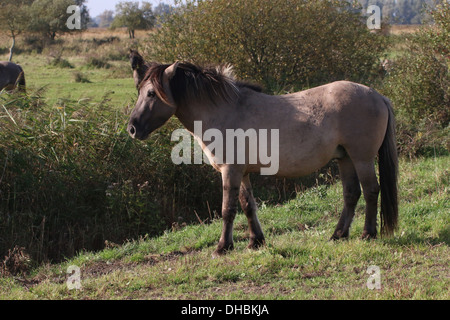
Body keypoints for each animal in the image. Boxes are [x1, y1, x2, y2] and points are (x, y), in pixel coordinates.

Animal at [125, 54, 398, 258]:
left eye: (151, 94)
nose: (132, 129)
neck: (224, 110)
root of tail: (377, 95)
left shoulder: (230, 171)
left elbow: (228, 209)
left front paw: (222, 247)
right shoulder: (242, 173)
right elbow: (248, 206)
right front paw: (256, 241)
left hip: (361, 158)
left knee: (371, 191)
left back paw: (367, 234)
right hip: (345, 158)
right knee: (351, 195)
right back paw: (338, 235)